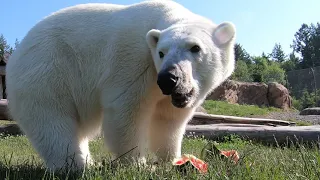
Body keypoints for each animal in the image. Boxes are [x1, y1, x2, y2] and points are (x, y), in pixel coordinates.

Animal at [4, 0, 235, 171]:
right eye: (161, 52)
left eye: (195, 48)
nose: (169, 79)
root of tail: (15, 56)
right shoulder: (134, 60)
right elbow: (127, 110)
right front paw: (138, 164)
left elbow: (168, 119)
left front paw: (172, 159)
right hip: (46, 72)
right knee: (53, 122)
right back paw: (75, 166)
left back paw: (88, 161)